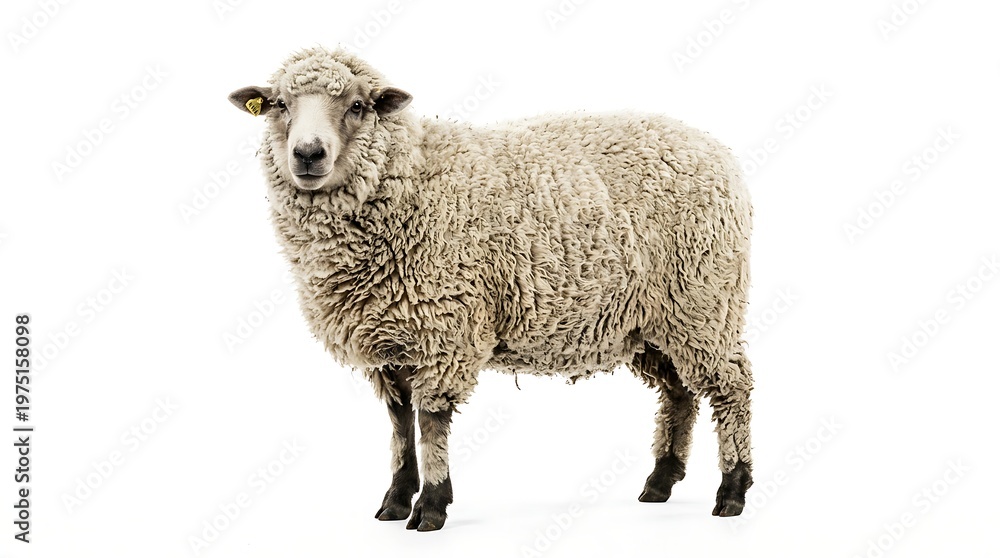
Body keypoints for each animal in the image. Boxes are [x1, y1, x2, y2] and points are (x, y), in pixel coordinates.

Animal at [228, 46, 754, 531]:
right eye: (278, 104)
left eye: (358, 105)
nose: (308, 154)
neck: (411, 180)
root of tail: (714, 148)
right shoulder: (390, 338)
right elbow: (399, 422)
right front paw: (396, 499)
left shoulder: (445, 328)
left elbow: (430, 420)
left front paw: (431, 506)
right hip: (654, 321)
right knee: (680, 393)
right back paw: (661, 481)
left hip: (704, 302)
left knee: (732, 387)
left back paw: (732, 491)